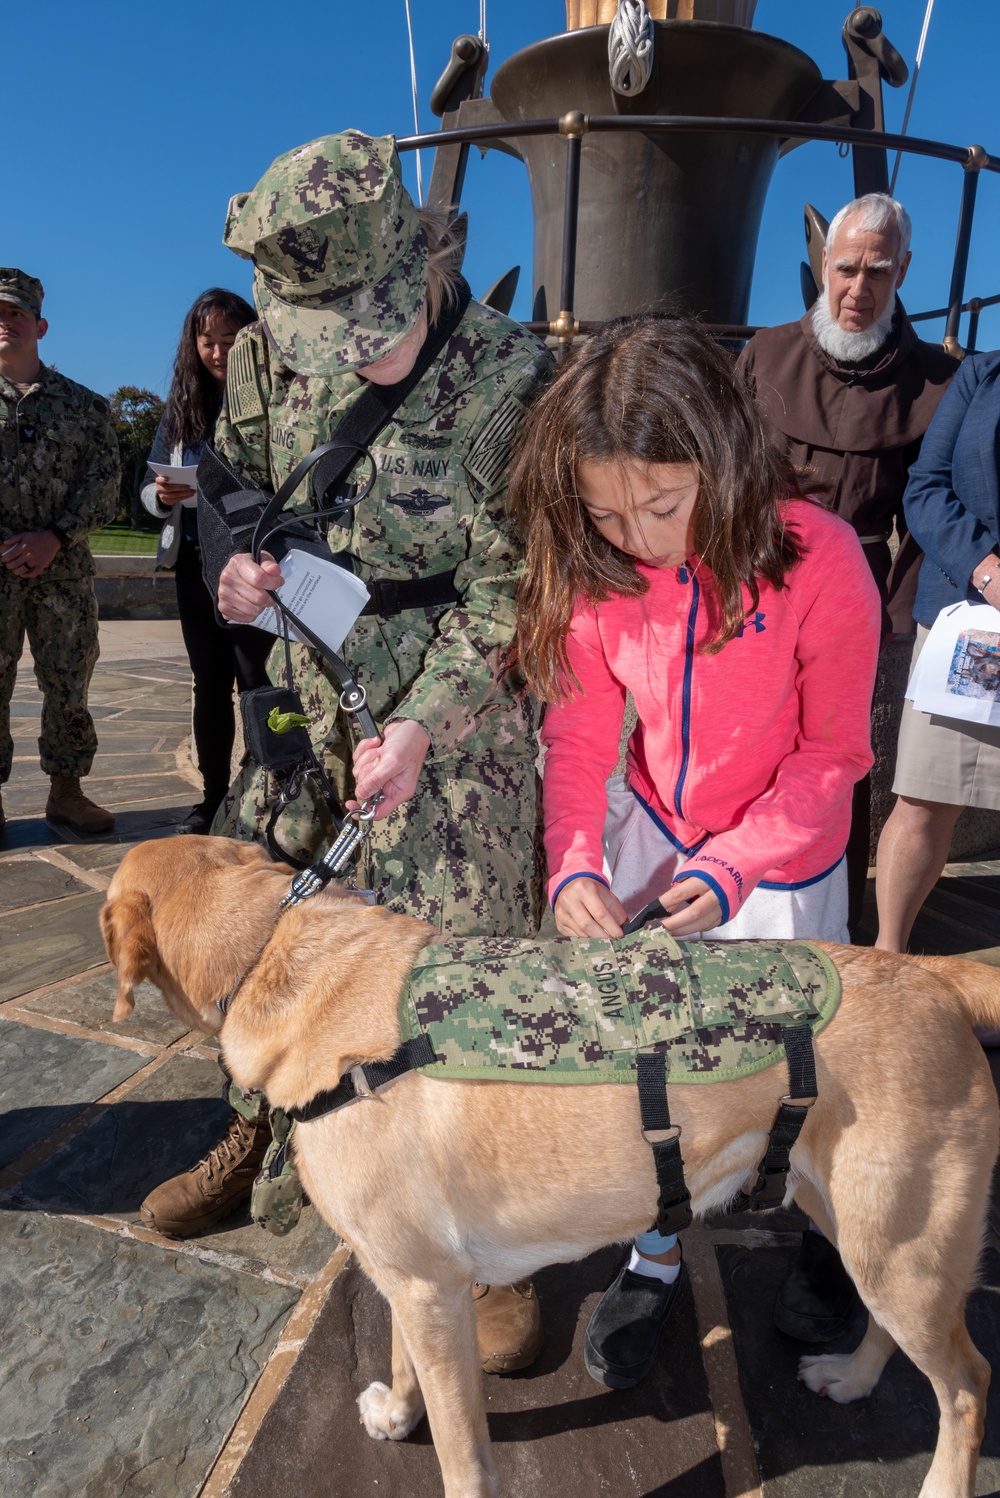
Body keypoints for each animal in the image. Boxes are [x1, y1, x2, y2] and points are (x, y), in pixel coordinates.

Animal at [99, 838, 999, 1492]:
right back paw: (852, 1379)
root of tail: (929, 971)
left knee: (966, 1382)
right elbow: (398, 1357)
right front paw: (397, 1413)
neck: (272, 951)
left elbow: (463, 1457)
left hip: (898, 1246)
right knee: (905, 1340)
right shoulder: (406, 1279)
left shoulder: (430, 1291)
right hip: (860, 1227)